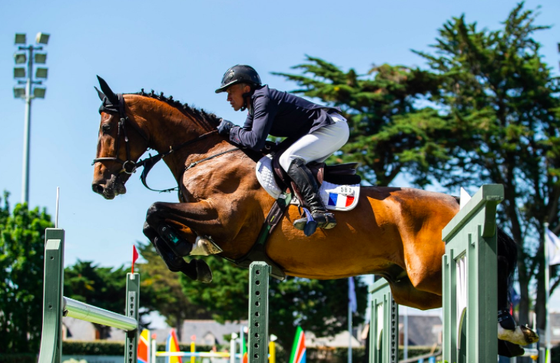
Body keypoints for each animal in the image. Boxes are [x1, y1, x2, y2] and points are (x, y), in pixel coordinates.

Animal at [92, 77, 540, 356]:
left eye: (110, 128)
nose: (101, 185)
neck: (206, 155)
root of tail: (454, 203)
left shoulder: (225, 222)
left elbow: (154, 212)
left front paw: (192, 263)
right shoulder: (203, 220)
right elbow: (157, 223)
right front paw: (190, 260)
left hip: (430, 273)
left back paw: (509, 328)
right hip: (411, 290)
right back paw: (513, 333)